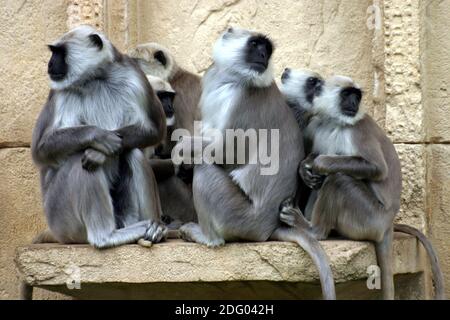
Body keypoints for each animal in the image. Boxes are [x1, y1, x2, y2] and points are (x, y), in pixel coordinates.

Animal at [178, 28, 336, 300]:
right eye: (255, 45)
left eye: (267, 49)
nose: (263, 55)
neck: (230, 80)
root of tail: (267, 228)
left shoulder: (245, 101)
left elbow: (227, 153)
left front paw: (181, 151)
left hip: (239, 216)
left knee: (206, 169)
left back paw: (207, 237)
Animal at [282, 70, 446, 300]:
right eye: (347, 95)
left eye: (356, 96)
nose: (354, 103)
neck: (335, 122)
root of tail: (387, 224)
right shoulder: (315, 125)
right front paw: (305, 168)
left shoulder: (358, 130)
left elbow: (377, 169)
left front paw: (318, 162)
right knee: (326, 183)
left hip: (369, 218)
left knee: (338, 180)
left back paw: (314, 230)